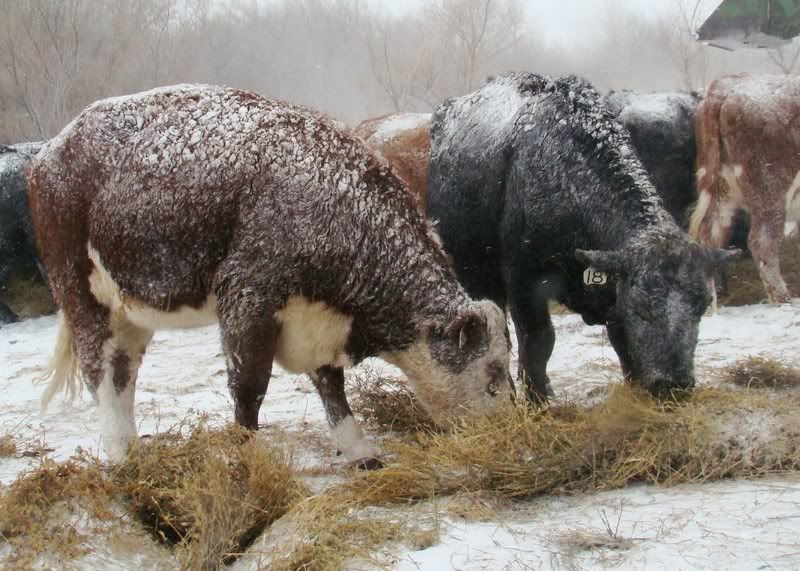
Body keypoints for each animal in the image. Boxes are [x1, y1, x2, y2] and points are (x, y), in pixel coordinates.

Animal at [28, 84, 512, 465]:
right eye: (493, 374)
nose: (508, 428)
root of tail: (52, 150)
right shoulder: (248, 298)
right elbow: (249, 389)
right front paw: (244, 460)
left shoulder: (318, 320)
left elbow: (330, 384)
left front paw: (358, 449)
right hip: (81, 294)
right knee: (99, 369)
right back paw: (120, 456)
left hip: (130, 308)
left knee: (122, 370)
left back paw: (132, 450)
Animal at [427, 73, 738, 403]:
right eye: (641, 303)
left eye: (702, 304)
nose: (674, 384)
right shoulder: (524, 281)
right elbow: (538, 341)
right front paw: (537, 400)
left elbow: (620, 339)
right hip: (477, 275)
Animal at [690, 74, 800, 304]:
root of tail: (726, 86)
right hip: (770, 192)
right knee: (762, 242)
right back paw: (783, 299)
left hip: (721, 191)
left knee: (709, 237)